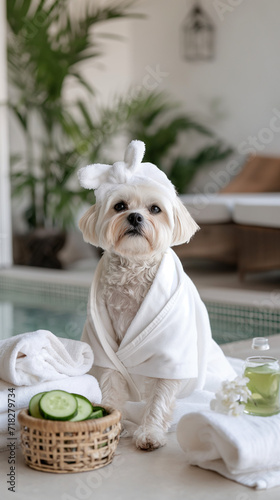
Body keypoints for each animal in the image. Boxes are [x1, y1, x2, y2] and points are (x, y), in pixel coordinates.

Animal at [77, 140, 235, 450]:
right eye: (120, 206)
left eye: (155, 208)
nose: (136, 216)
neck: (134, 270)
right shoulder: (106, 350)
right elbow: (110, 387)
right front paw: (110, 424)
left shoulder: (168, 354)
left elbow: (159, 399)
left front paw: (149, 433)